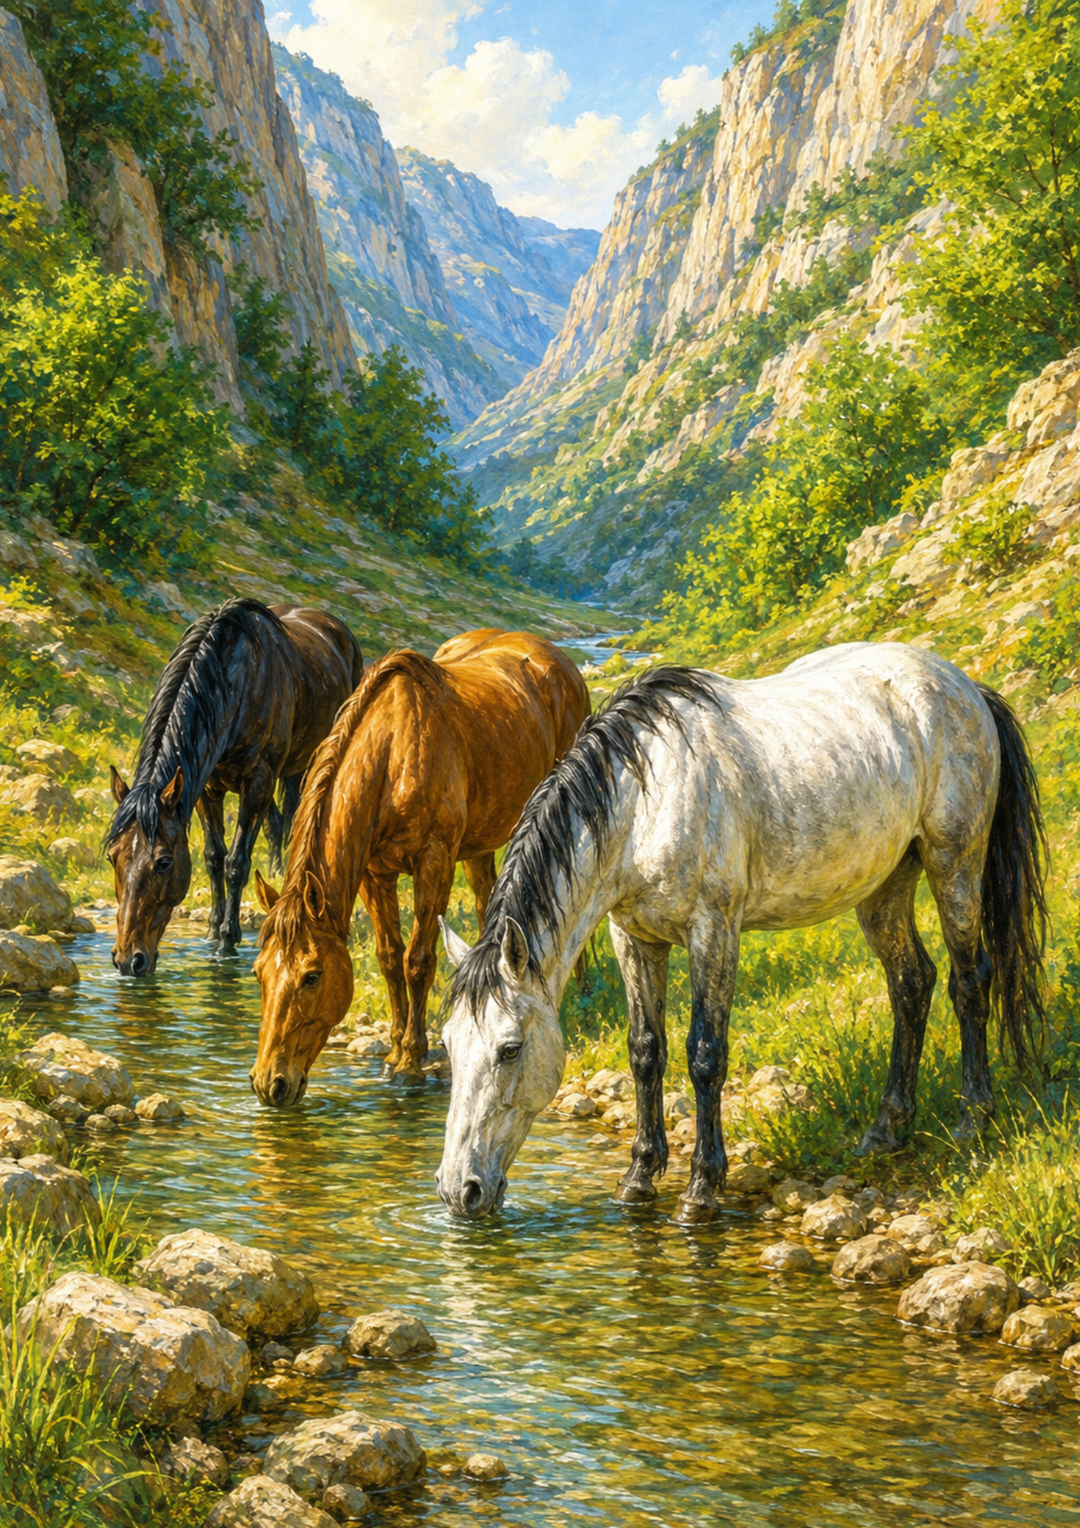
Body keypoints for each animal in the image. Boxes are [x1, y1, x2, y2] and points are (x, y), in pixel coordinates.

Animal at [107, 598, 362, 974]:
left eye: (164, 862)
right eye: (113, 857)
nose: (128, 960)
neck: (234, 684)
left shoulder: (256, 783)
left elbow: (236, 863)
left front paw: (228, 939)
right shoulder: (206, 789)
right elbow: (214, 857)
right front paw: (213, 931)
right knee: (278, 822)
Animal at [249, 628, 591, 1103]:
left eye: (311, 977)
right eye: (259, 972)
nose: (270, 1084)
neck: (393, 753)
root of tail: (557, 660)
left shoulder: (434, 861)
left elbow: (419, 960)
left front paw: (412, 1060)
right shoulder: (376, 873)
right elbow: (390, 958)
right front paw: (395, 1051)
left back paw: (585, 991)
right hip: (480, 847)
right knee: (487, 908)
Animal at [435, 643, 1047, 1221]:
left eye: (509, 1050)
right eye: (448, 1044)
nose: (459, 1190)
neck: (644, 801)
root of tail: (963, 686)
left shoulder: (713, 928)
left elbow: (705, 1054)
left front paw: (701, 1190)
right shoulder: (633, 937)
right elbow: (645, 1051)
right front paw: (639, 1177)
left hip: (954, 862)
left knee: (969, 981)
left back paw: (973, 1117)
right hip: (887, 884)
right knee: (911, 983)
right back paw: (884, 1130)